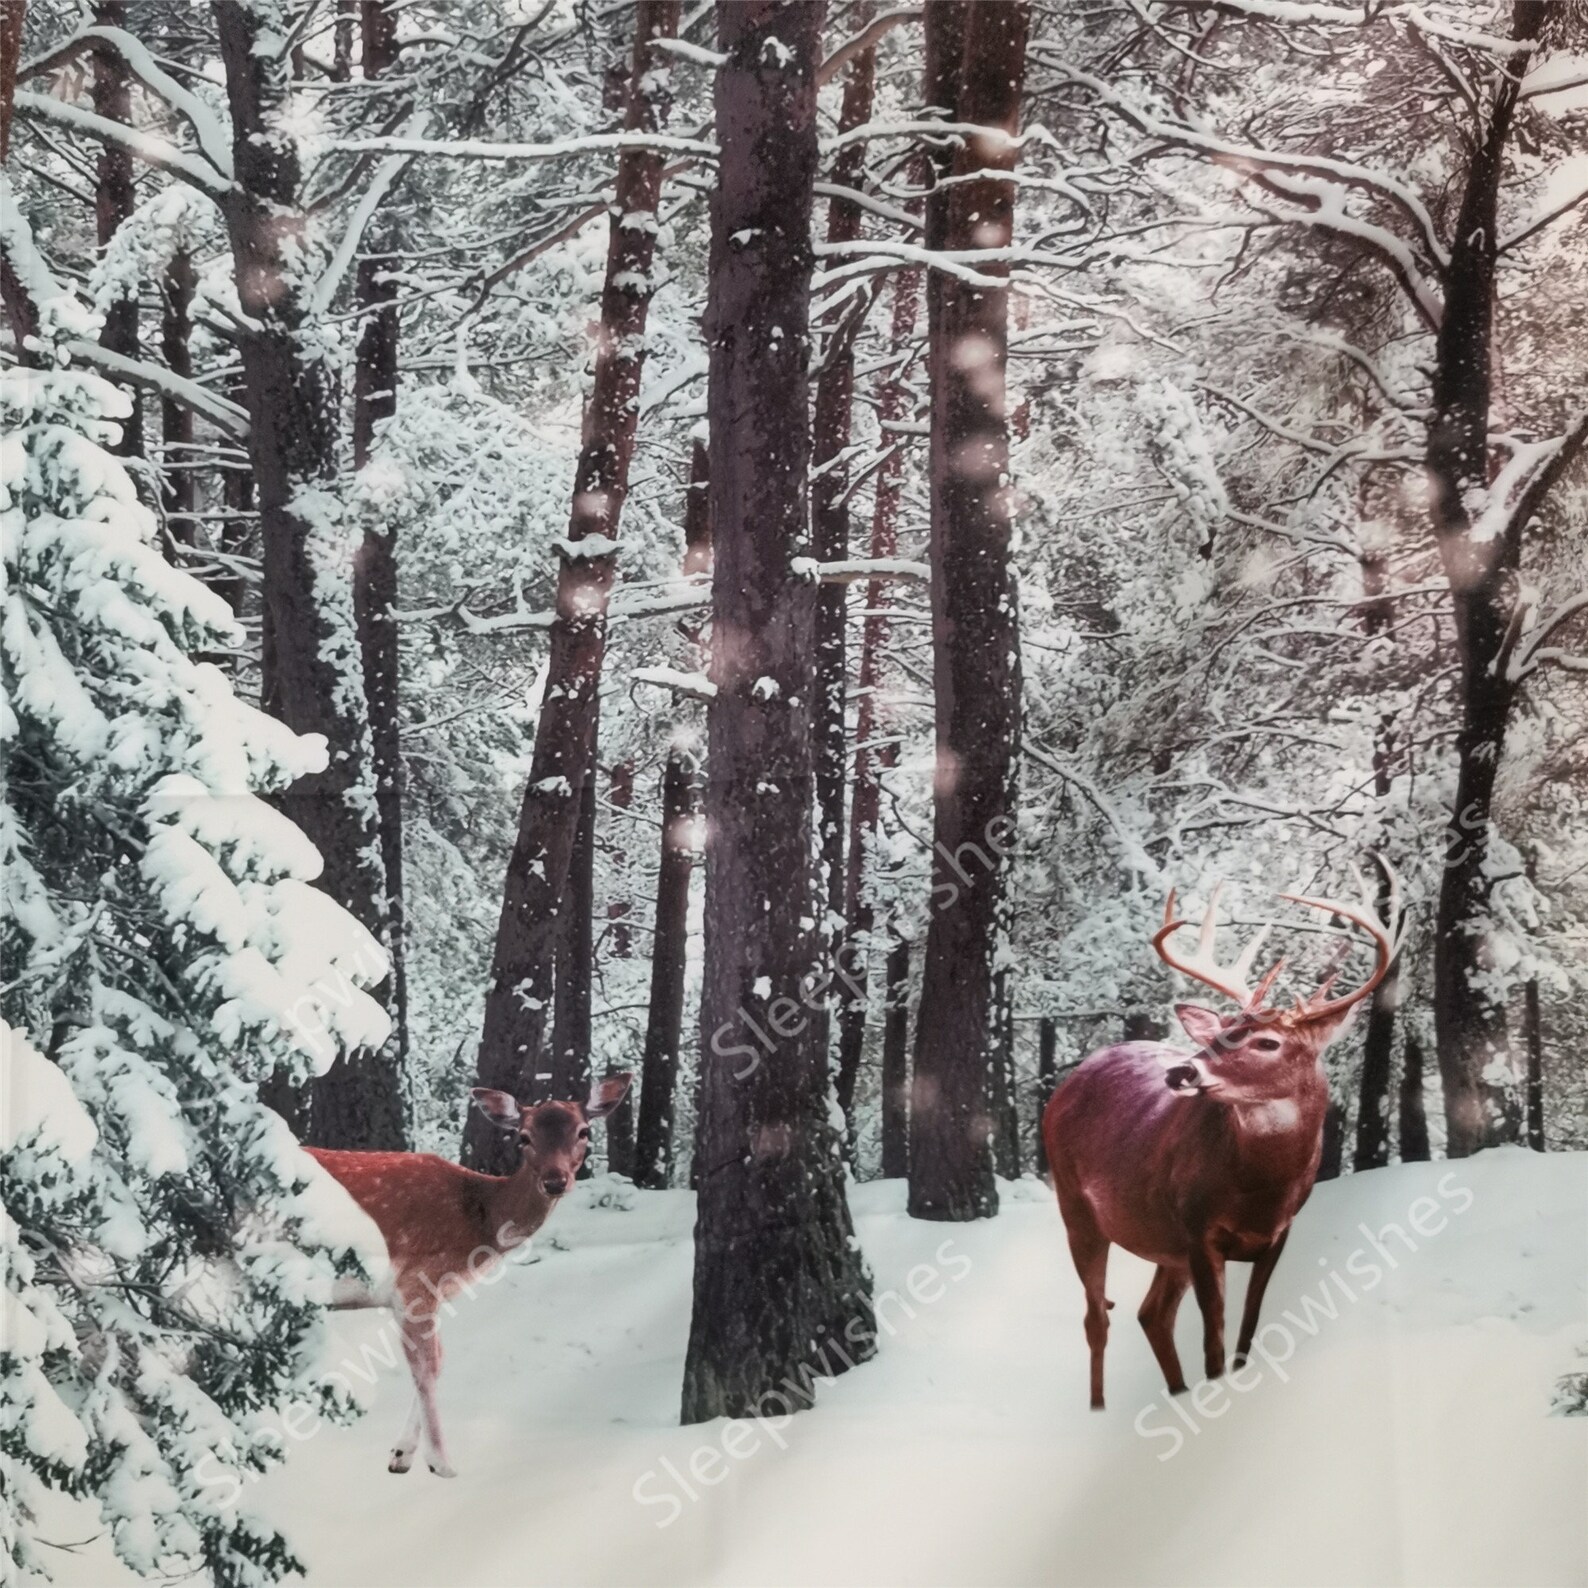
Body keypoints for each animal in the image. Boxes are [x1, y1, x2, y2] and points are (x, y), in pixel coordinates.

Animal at [304, 1074, 632, 1476]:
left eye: (584, 1131)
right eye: (523, 1136)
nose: (556, 1181)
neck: (479, 1220)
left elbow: (440, 1361)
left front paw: (401, 1455)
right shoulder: (415, 1283)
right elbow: (426, 1369)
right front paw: (441, 1462)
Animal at [1042, 868, 1398, 1410]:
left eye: (1268, 1041)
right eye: (1218, 1033)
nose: (1182, 1071)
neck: (1260, 1191)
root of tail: (1067, 1084)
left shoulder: (1276, 1237)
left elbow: (1246, 1338)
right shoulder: (1197, 1230)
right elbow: (1214, 1344)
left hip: (1161, 1244)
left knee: (1151, 1314)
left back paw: (1176, 1393)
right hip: (1076, 1206)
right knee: (1097, 1318)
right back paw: (1100, 1407)